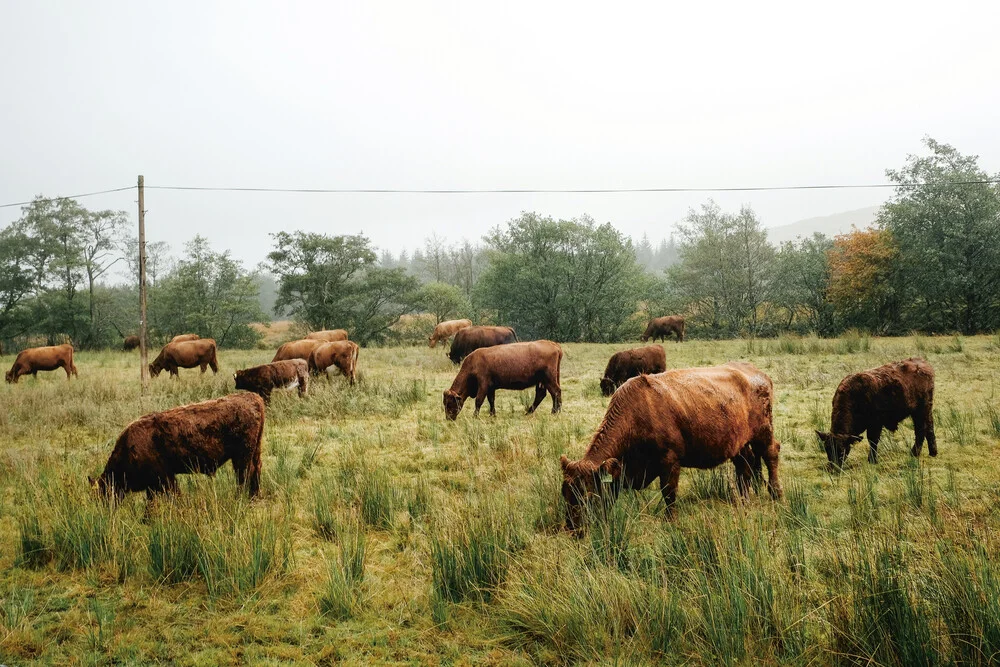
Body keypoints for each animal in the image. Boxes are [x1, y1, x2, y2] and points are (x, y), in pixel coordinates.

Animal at [90, 392, 266, 500]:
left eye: (104, 492)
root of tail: (253, 397)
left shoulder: (164, 478)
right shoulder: (153, 484)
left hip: (242, 456)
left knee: (244, 475)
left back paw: (240, 498)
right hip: (254, 451)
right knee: (255, 470)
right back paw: (253, 497)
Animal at [560, 362, 776, 528]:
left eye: (588, 495)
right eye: (565, 494)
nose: (574, 529)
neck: (635, 415)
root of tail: (761, 375)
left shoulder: (669, 461)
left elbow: (669, 493)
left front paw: (671, 520)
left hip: (763, 433)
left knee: (771, 454)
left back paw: (776, 494)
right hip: (738, 444)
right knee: (745, 466)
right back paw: (742, 500)